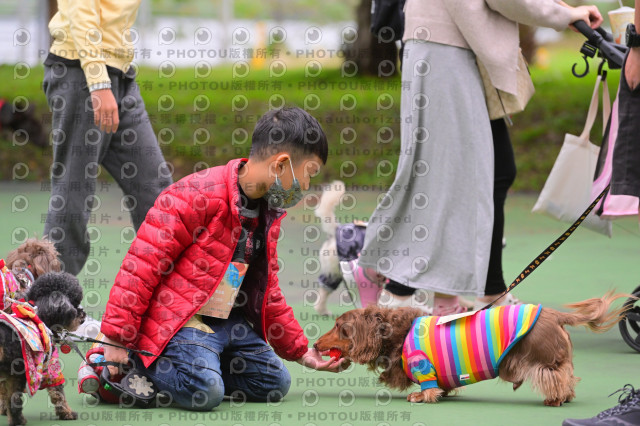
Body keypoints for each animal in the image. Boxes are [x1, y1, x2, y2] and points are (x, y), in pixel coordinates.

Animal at [0, 272, 85, 425]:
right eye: (75, 303)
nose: (84, 315)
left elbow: (3, 395)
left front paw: (3, 411)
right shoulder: (50, 365)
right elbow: (58, 392)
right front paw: (67, 413)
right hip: (17, 372)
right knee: (15, 400)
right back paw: (18, 421)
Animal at [314, 292, 630, 406]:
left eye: (339, 327)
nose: (315, 344)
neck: (397, 332)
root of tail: (553, 314)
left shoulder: (422, 365)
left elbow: (428, 388)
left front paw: (420, 397)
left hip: (544, 360)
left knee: (555, 378)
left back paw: (554, 399)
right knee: (567, 377)